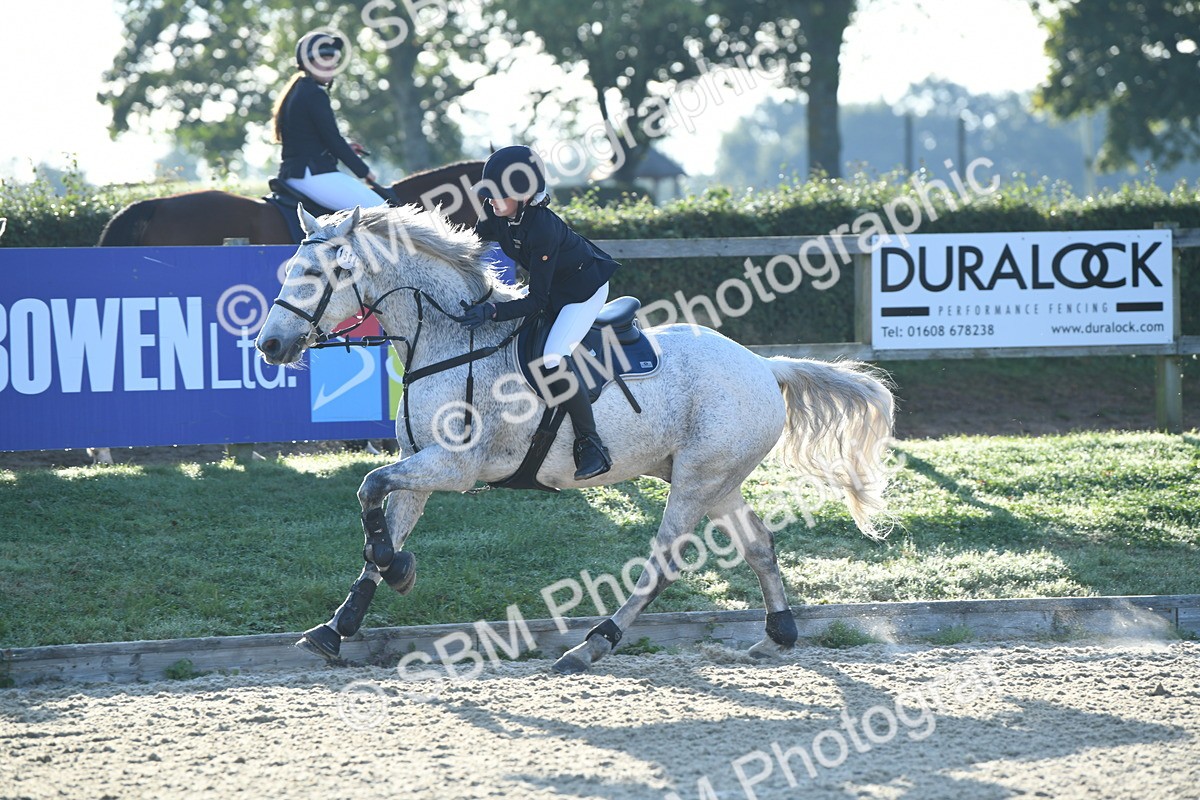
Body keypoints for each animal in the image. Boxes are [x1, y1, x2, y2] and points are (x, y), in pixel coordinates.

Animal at [254, 203, 896, 674]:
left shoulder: (456, 468)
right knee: (759, 545)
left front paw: (396, 570)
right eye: (291, 270)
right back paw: (776, 637)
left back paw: (592, 644)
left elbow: (368, 488)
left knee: (663, 562)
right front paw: (342, 623)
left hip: (696, 480)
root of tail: (764, 366)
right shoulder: (419, 467)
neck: (448, 339)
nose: (270, 346)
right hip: (715, 478)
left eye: (322, 273)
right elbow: (376, 524)